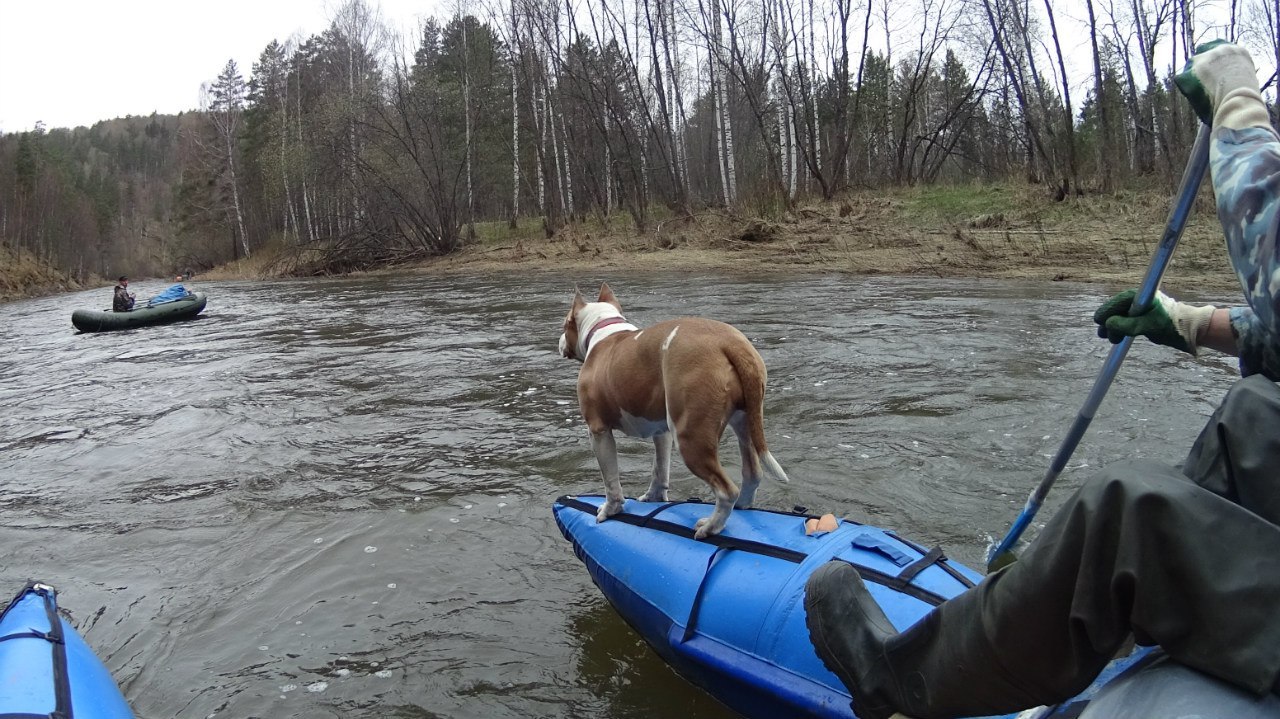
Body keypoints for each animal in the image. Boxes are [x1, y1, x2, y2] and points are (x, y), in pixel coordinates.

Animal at [560, 282, 788, 534]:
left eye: (564, 324)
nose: (559, 340)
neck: (604, 330)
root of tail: (729, 342)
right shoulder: (662, 432)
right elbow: (660, 469)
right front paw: (654, 498)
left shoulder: (598, 431)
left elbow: (611, 480)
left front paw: (610, 510)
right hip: (744, 422)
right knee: (752, 472)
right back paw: (743, 507)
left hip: (691, 438)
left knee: (726, 490)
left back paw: (710, 527)